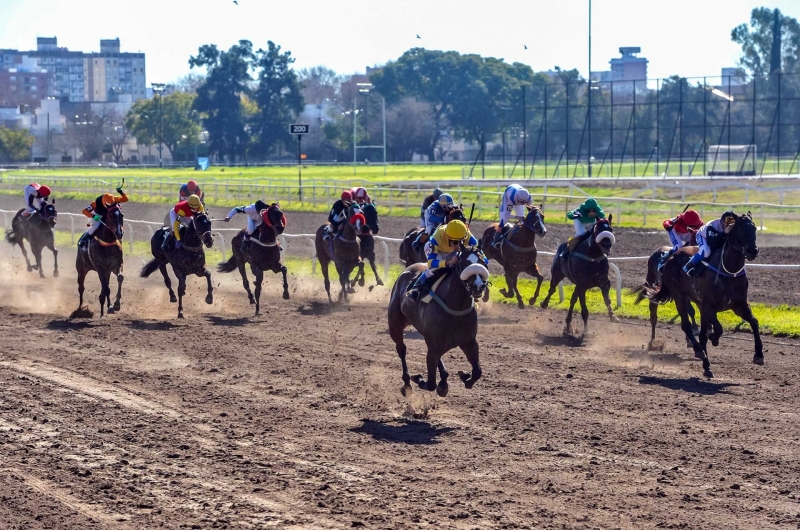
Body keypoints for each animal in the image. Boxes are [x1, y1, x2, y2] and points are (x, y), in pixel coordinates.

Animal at [386, 243, 488, 396]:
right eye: (464, 263)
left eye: (482, 262)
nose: (478, 286)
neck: (456, 307)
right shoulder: (434, 346)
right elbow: (430, 384)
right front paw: (419, 378)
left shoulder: (469, 342)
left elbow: (477, 372)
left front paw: (464, 376)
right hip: (395, 325)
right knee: (401, 349)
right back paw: (407, 383)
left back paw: (444, 381)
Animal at [636, 209, 764, 376]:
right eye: (741, 229)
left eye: (754, 228)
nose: (753, 251)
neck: (729, 271)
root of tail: (670, 257)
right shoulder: (709, 307)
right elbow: (718, 328)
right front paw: (714, 338)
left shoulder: (739, 304)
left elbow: (754, 322)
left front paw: (759, 355)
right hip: (678, 296)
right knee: (683, 324)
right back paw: (695, 349)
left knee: (699, 331)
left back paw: (706, 366)